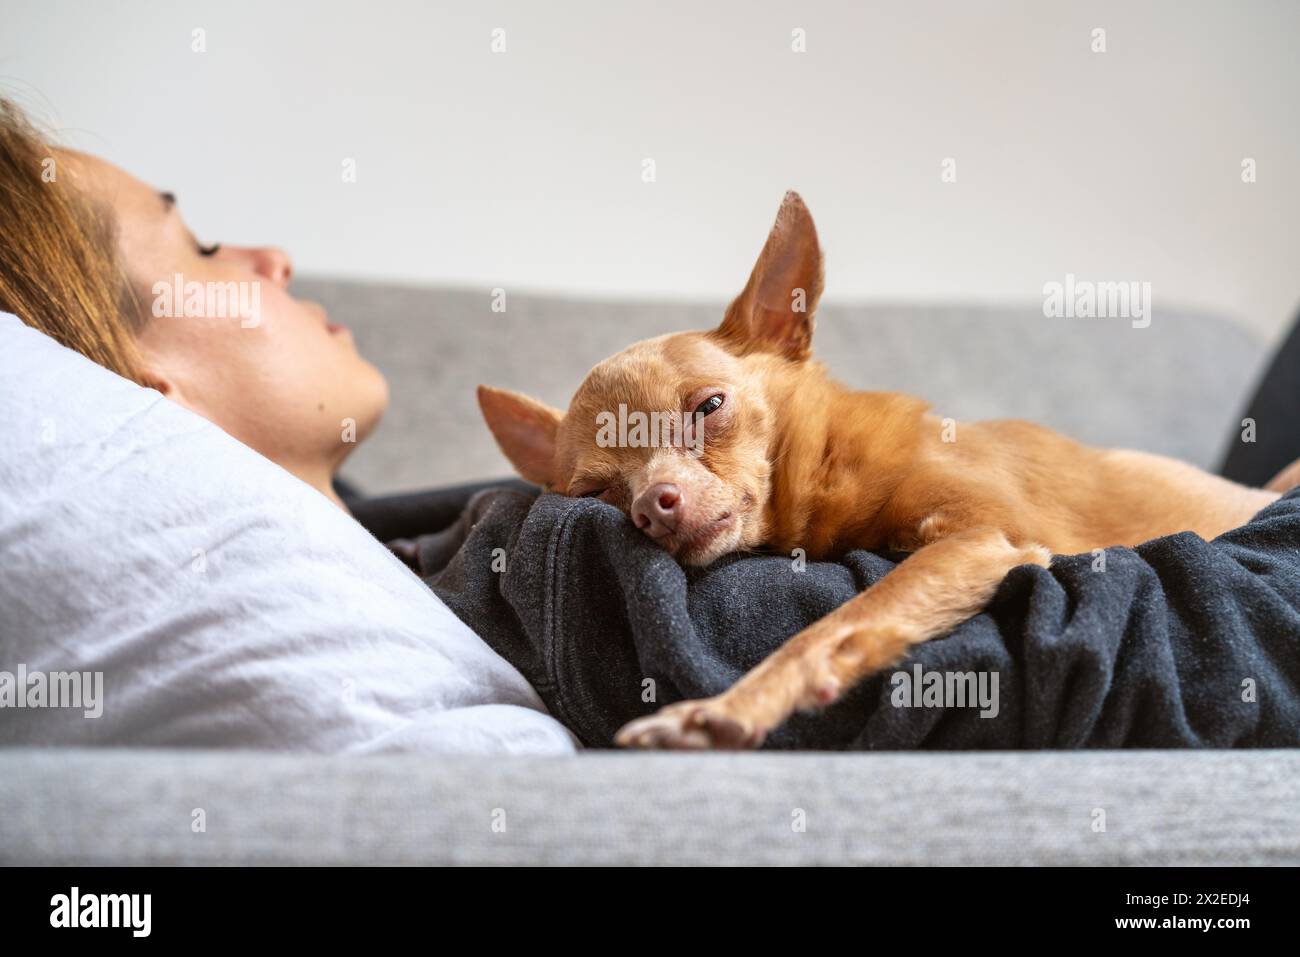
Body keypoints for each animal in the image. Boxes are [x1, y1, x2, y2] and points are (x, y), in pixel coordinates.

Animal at [478, 191, 1289, 748]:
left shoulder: (980, 538)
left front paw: (726, 710)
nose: (653, 506)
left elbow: (836, 623)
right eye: (597, 491)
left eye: (709, 406)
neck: (832, 465)